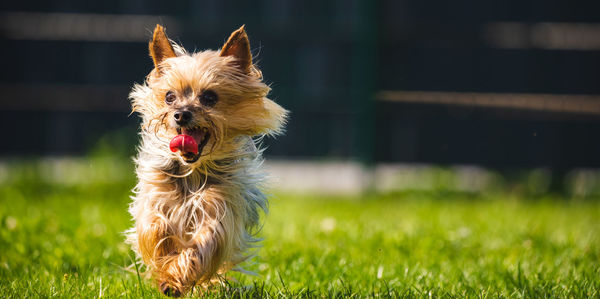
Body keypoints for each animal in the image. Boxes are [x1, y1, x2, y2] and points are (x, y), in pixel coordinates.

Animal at [125, 24, 288, 296]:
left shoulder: (219, 207)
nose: (180, 114)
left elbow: (204, 243)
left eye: (210, 97)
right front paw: (165, 259)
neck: (193, 171)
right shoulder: (155, 195)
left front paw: (174, 278)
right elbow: (155, 226)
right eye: (169, 97)